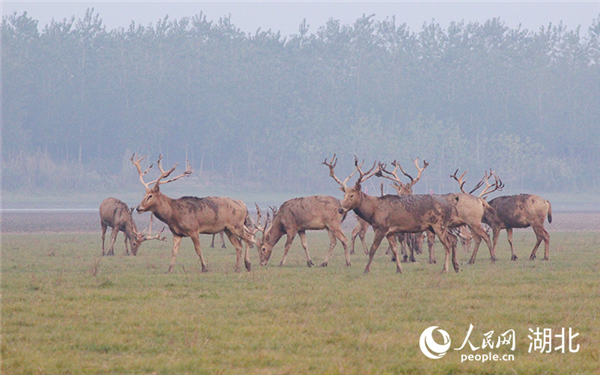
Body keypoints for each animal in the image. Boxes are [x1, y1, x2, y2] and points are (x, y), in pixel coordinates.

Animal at [324, 154, 460, 274]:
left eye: (352, 195)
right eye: (344, 194)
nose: (341, 209)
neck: (372, 212)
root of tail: (450, 205)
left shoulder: (381, 228)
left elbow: (373, 249)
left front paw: (366, 270)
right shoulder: (390, 232)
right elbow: (395, 250)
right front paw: (399, 269)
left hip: (439, 224)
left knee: (447, 244)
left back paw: (445, 269)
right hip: (439, 226)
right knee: (453, 239)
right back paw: (456, 266)